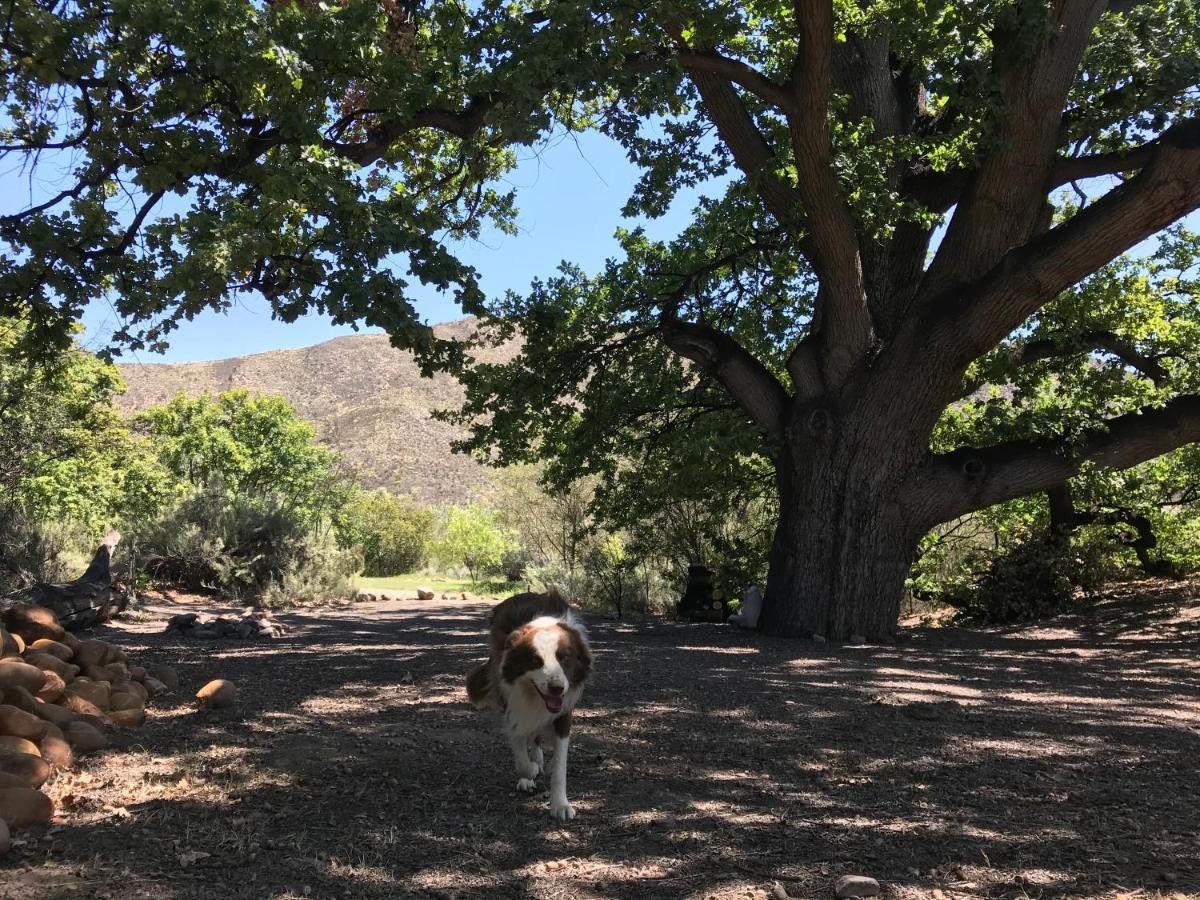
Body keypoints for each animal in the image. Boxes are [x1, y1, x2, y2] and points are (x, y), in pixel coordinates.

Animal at [465, 595, 592, 820]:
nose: (557, 688)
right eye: (536, 661)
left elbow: (560, 764)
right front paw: (529, 771)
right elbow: (519, 746)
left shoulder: (564, 711)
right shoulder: (510, 702)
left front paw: (560, 804)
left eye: (564, 657)